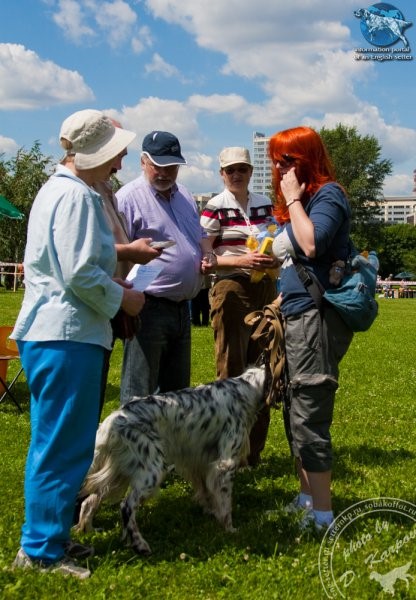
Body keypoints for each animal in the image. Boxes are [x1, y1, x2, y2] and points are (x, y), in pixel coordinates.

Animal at [75, 365, 268, 555]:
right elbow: (225, 502)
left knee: (89, 500)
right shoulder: (225, 464)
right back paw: (140, 544)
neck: (246, 389)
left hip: (118, 472)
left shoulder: (202, 461)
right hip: (152, 470)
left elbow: (207, 492)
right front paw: (230, 529)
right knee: (126, 506)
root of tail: (111, 421)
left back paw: (89, 530)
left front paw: (210, 512)